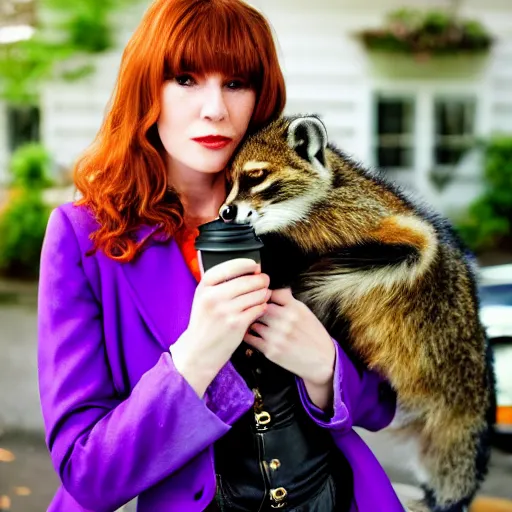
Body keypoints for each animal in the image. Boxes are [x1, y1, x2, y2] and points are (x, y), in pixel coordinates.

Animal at [220, 115, 496, 512]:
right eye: (228, 181)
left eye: (255, 176)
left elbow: (360, 262)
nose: (225, 212)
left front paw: (303, 278)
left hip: (459, 410)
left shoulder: (400, 232)